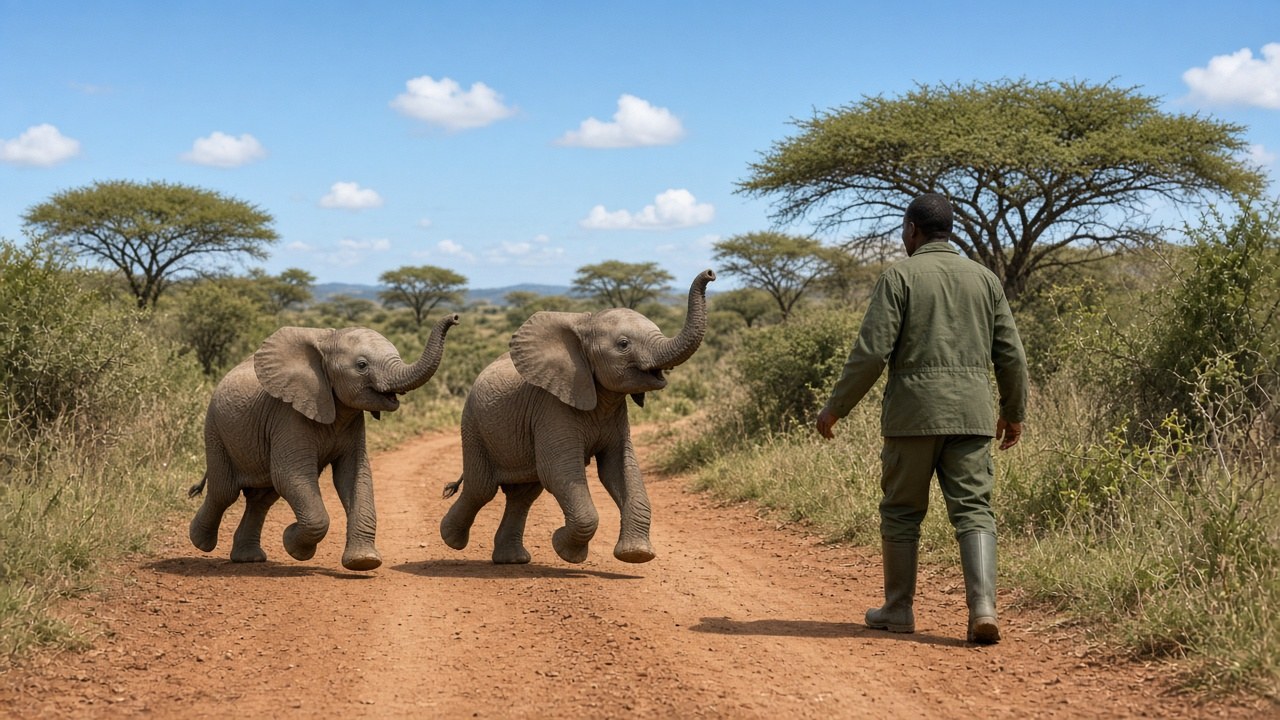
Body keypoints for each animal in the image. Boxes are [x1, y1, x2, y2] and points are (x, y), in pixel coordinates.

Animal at [188, 314, 460, 571]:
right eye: (362, 365)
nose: (455, 318)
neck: (326, 342)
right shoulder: (288, 415)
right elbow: (290, 475)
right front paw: (294, 546)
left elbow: (354, 476)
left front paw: (364, 562)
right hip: (215, 430)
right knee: (225, 491)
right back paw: (200, 542)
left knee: (262, 498)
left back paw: (248, 559)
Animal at [439, 269, 715, 565]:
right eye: (623, 344)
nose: (710, 273)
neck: (585, 325)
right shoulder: (552, 407)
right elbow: (559, 471)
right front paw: (565, 549)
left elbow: (619, 469)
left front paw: (637, 555)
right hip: (473, 424)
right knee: (481, 487)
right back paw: (451, 539)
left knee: (523, 494)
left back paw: (511, 559)